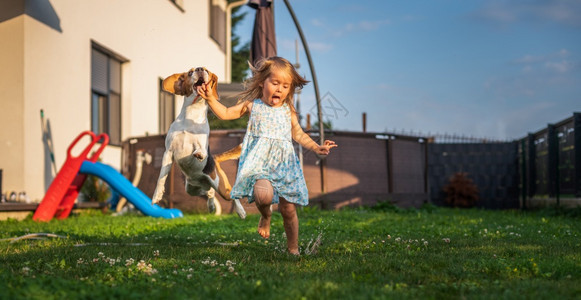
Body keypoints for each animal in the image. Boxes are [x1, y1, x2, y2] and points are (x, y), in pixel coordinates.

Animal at [152, 67, 245, 218]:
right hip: (192, 189)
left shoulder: (201, 144)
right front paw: (157, 195)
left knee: (231, 196)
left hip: (220, 185)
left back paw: (241, 211)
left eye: (207, 70)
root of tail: (215, 159)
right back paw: (211, 206)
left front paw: (199, 154)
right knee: (209, 192)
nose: (200, 69)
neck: (193, 112)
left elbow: (200, 149)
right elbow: (161, 177)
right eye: (190, 72)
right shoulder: (168, 152)